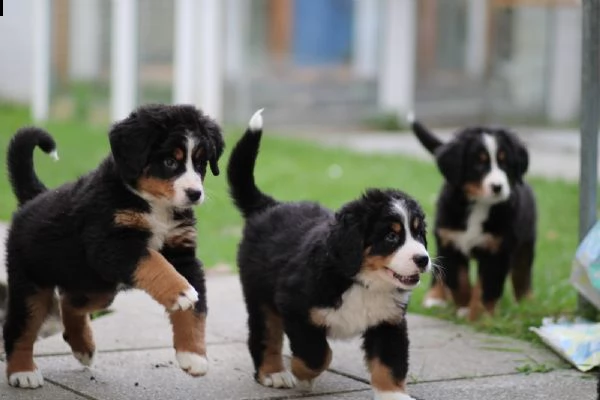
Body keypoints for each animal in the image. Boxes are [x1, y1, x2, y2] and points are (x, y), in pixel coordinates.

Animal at [3, 103, 224, 388]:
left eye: (200, 163)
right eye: (169, 162)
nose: (195, 194)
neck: (154, 205)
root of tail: (36, 197)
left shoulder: (182, 252)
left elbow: (196, 310)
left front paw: (193, 356)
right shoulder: (111, 244)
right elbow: (154, 262)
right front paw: (181, 292)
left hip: (98, 287)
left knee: (70, 302)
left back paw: (83, 347)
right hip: (31, 282)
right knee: (21, 325)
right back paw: (23, 372)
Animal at [227, 109, 428, 400]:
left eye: (419, 233)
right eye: (391, 236)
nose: (423, 260)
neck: (360, 280)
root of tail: (269, 206)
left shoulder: (388, 321)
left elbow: (390, 362)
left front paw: (394, 395)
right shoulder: (294, 306)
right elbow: (318, 355)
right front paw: (301, 374)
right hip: (260, 294)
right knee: (265, 335)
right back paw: (274, 372)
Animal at [410, 114, 536, 320]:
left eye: (505, 163)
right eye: (479, 163)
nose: (498, 187)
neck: (479, 204)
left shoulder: (497, 249)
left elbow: (486, 285)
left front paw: (480, 315)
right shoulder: (450, 242)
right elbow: (458, 280)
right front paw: (463, 307)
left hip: (526, 243)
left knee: (522, 273)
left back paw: (527, 302)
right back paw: (435, 298)